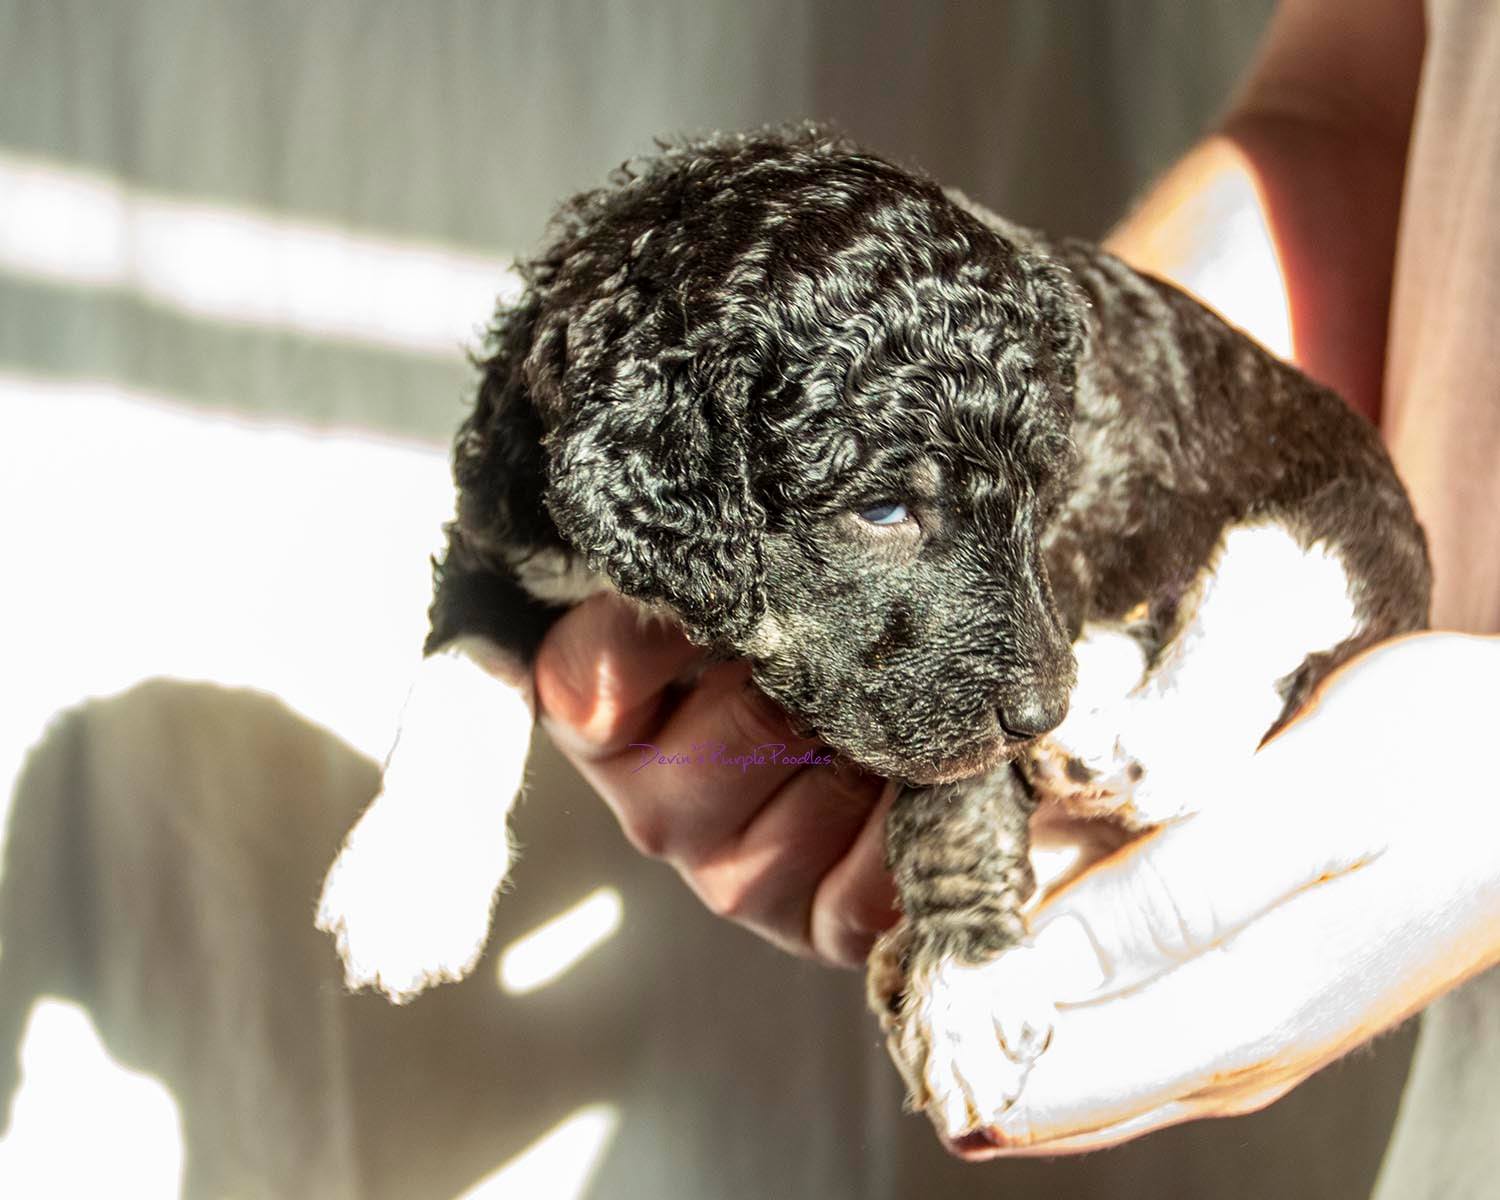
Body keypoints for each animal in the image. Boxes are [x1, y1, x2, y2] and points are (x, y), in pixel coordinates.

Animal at [314, 124, 1430, 1147]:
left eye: (1041, 491)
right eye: (884, 510)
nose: (1041, 709)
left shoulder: (1024, 607)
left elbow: (954, 792)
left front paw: (966, 980)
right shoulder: (508, 524)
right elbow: (459, 684)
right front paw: (410, 877)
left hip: (1336, 532)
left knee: (1255, 632)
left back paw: (1110, 750)